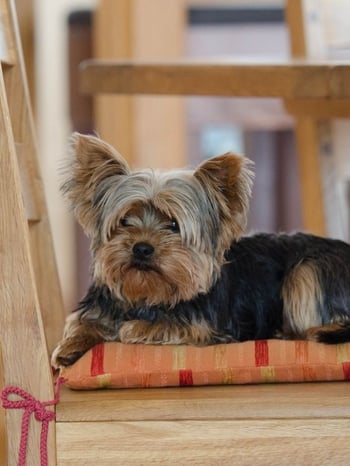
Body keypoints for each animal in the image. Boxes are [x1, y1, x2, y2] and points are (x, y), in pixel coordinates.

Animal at [50, 132, 350, 368]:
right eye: (124, 221)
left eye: (173, 224)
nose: (142, 248)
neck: (147, 295)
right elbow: (82, 322)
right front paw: (69, 346)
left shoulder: (204, 327)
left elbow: (163, 326)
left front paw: (136, 327)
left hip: (308, 272)